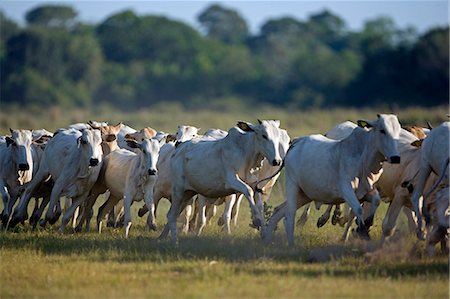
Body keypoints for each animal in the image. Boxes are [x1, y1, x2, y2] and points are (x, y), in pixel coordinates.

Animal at [264, 115, 400, 246]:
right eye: (382, 130)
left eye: (398, 132)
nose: (396, 158)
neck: (364, 156)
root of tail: (297, 142)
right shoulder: (346, 189)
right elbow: (358, 209)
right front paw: (362, 230)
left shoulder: (366, 191)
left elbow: (376, 201)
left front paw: (367, 223)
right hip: (293, 185)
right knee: (289, 216)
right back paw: (291, 243)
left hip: (305, 194)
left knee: (278, 211)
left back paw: (267, 240)